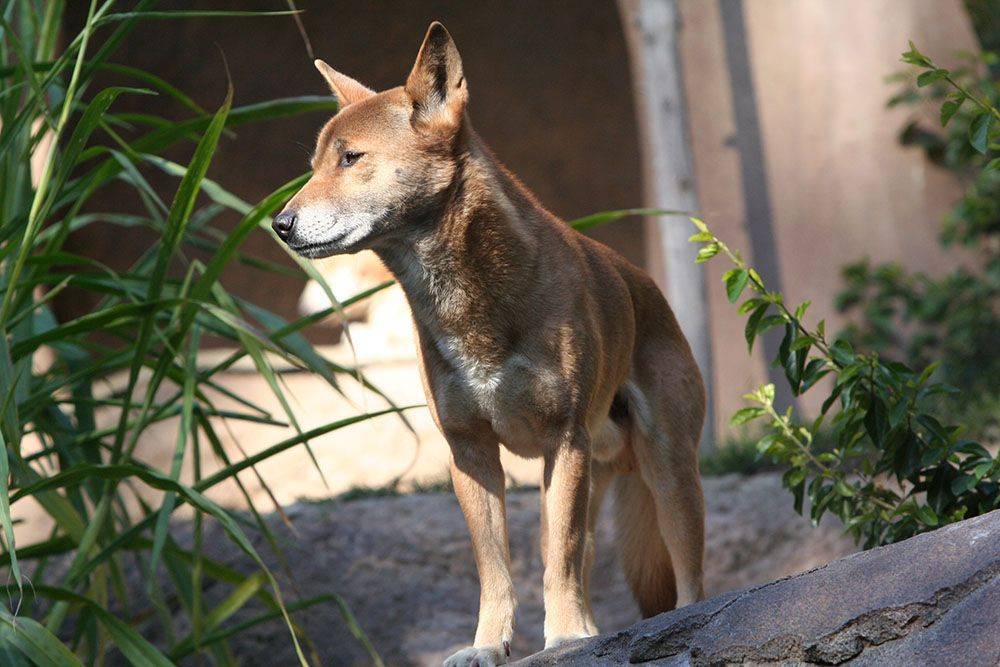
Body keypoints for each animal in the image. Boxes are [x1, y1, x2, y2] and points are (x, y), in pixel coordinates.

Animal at [272, 22, 704, 667]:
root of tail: (647, 285)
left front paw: (565, 639)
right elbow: (495, 569)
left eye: (351, 159)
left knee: (684, 573)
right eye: (314, 165)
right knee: (577, 555)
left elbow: (556, 563)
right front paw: (487, 645)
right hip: (594, 475)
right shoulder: (470, 452)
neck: (466, 300)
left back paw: (675, 622)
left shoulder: (562, 439)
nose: (280, 224)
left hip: (666, 468)